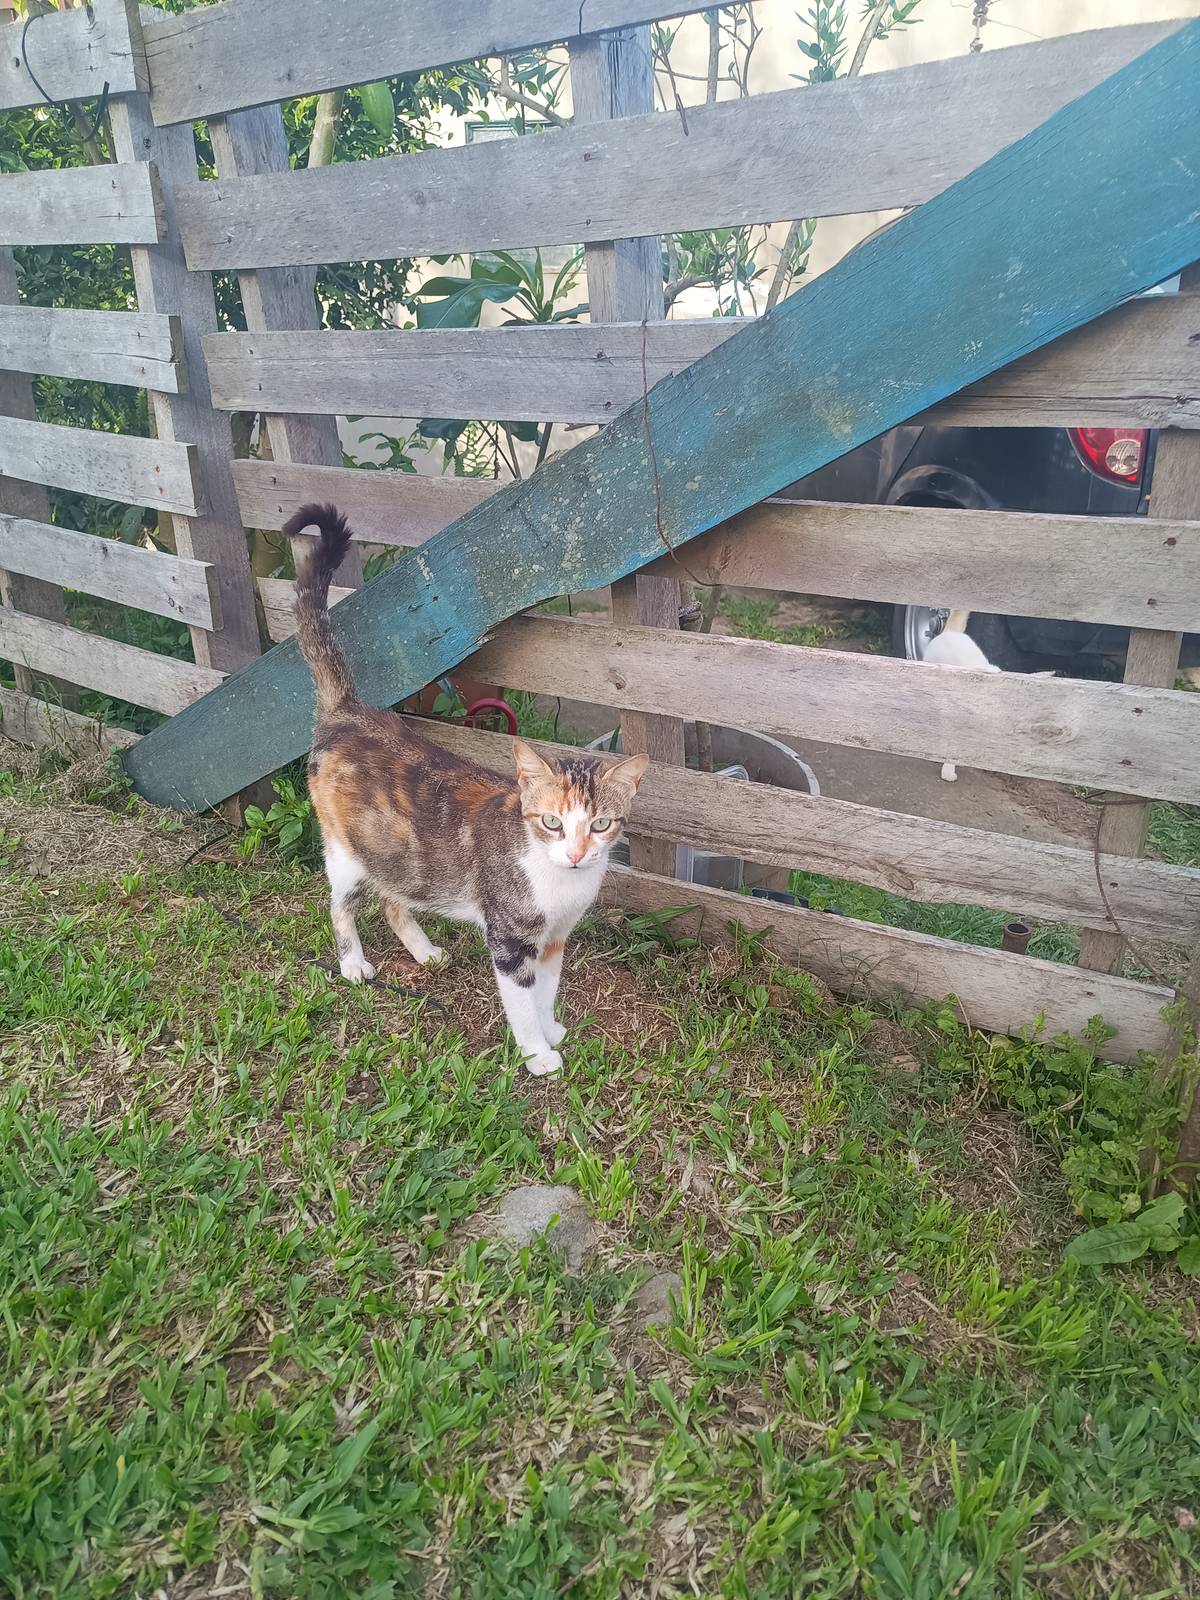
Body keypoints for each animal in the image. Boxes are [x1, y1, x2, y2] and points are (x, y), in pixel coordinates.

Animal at [284, 503, 648, 1078]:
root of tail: (347, 713)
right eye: (552, 822)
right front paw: (537, 1054)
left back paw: (423, 950)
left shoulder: (554, 939)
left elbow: (547, 991)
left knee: (394, 900)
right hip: (347, 852)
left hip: (398, 856)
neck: (560, 883)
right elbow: (521, 1000)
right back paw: (354, 963)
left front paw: (552, 1029)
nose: (574, 854)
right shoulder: (510, 940)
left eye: (601, 824)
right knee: (341, 903)